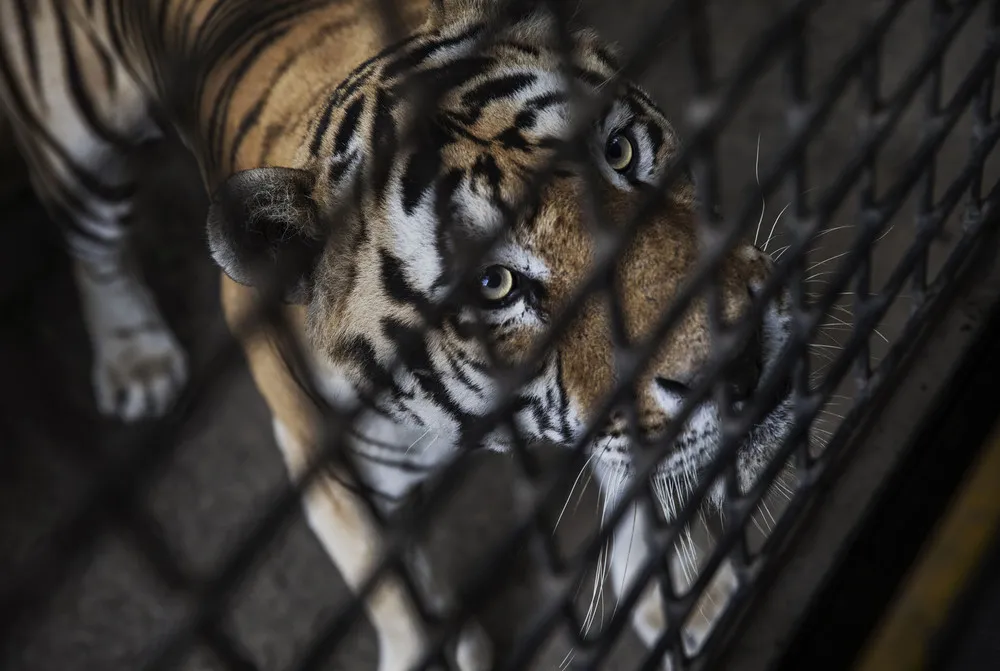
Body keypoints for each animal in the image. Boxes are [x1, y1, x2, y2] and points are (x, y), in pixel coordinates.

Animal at [0, 0, 797, 668]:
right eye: (494, 285)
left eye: (622, 151)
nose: (744, 350)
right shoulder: (330, 472)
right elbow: (394, 593)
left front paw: (687, 596)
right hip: (73, 144)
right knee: (92, 247)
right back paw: (135, 358)